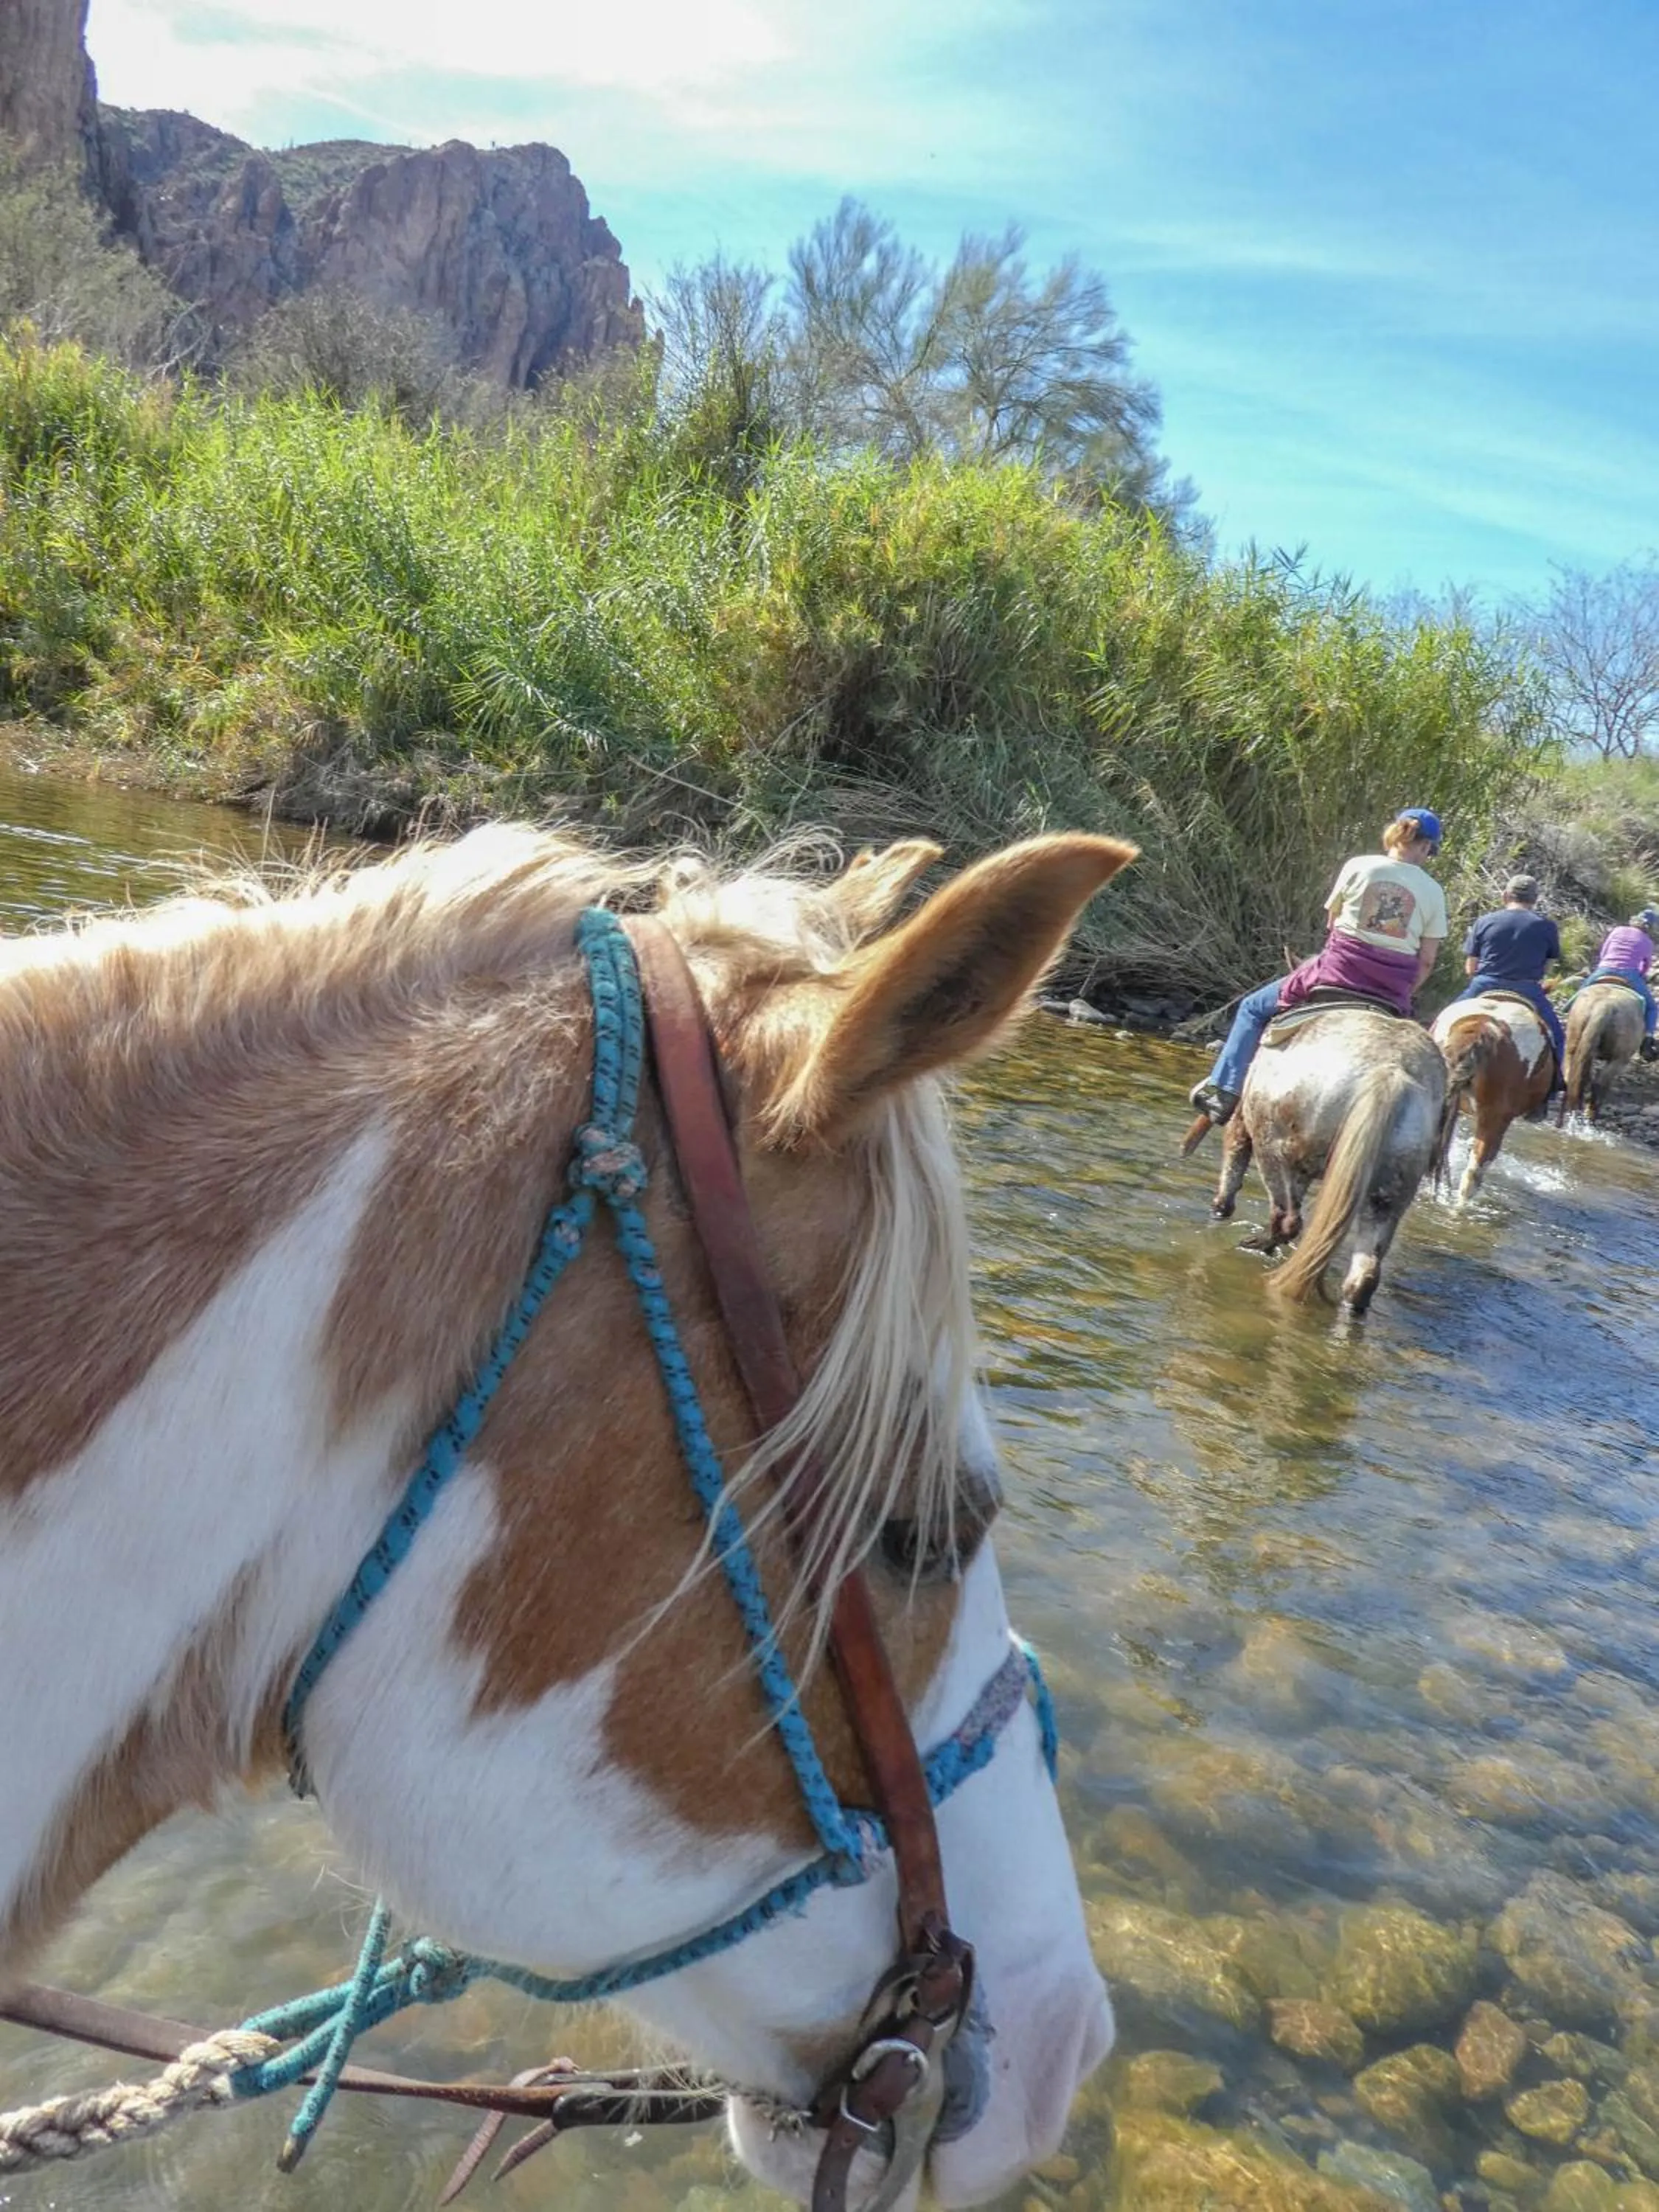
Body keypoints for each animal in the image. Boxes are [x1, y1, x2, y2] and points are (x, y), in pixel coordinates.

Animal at [1207, 1005, 1446, 1313]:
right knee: (1364, 1275)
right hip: (1393, 1185)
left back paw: (1255, 1244)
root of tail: (1391, 1071)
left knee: (1287, 1219)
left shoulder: (1245, 1124)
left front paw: (1220, 1210)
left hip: (1277, 1150)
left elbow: (1234, 1163)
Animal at [1561, 980, 1645, 1122]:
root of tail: (1604, 1006)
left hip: (1572, 1044)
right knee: (1599, 1084)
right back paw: (1591, 1116)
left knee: (1572, 1077)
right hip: (1619, 1059)